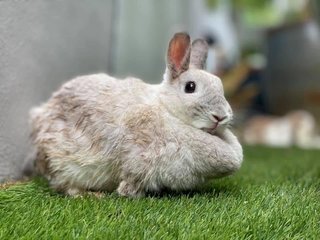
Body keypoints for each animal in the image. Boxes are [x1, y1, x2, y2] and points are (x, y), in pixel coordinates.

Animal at [30, 32, 244, 197]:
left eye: (221, 86)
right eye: (190, 87)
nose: (220, 116)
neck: (166, 110)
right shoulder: (139, 161)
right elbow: (131, 182)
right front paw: (129, 193)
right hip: (63, 166)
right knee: (66, 186)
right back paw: (91, 195)